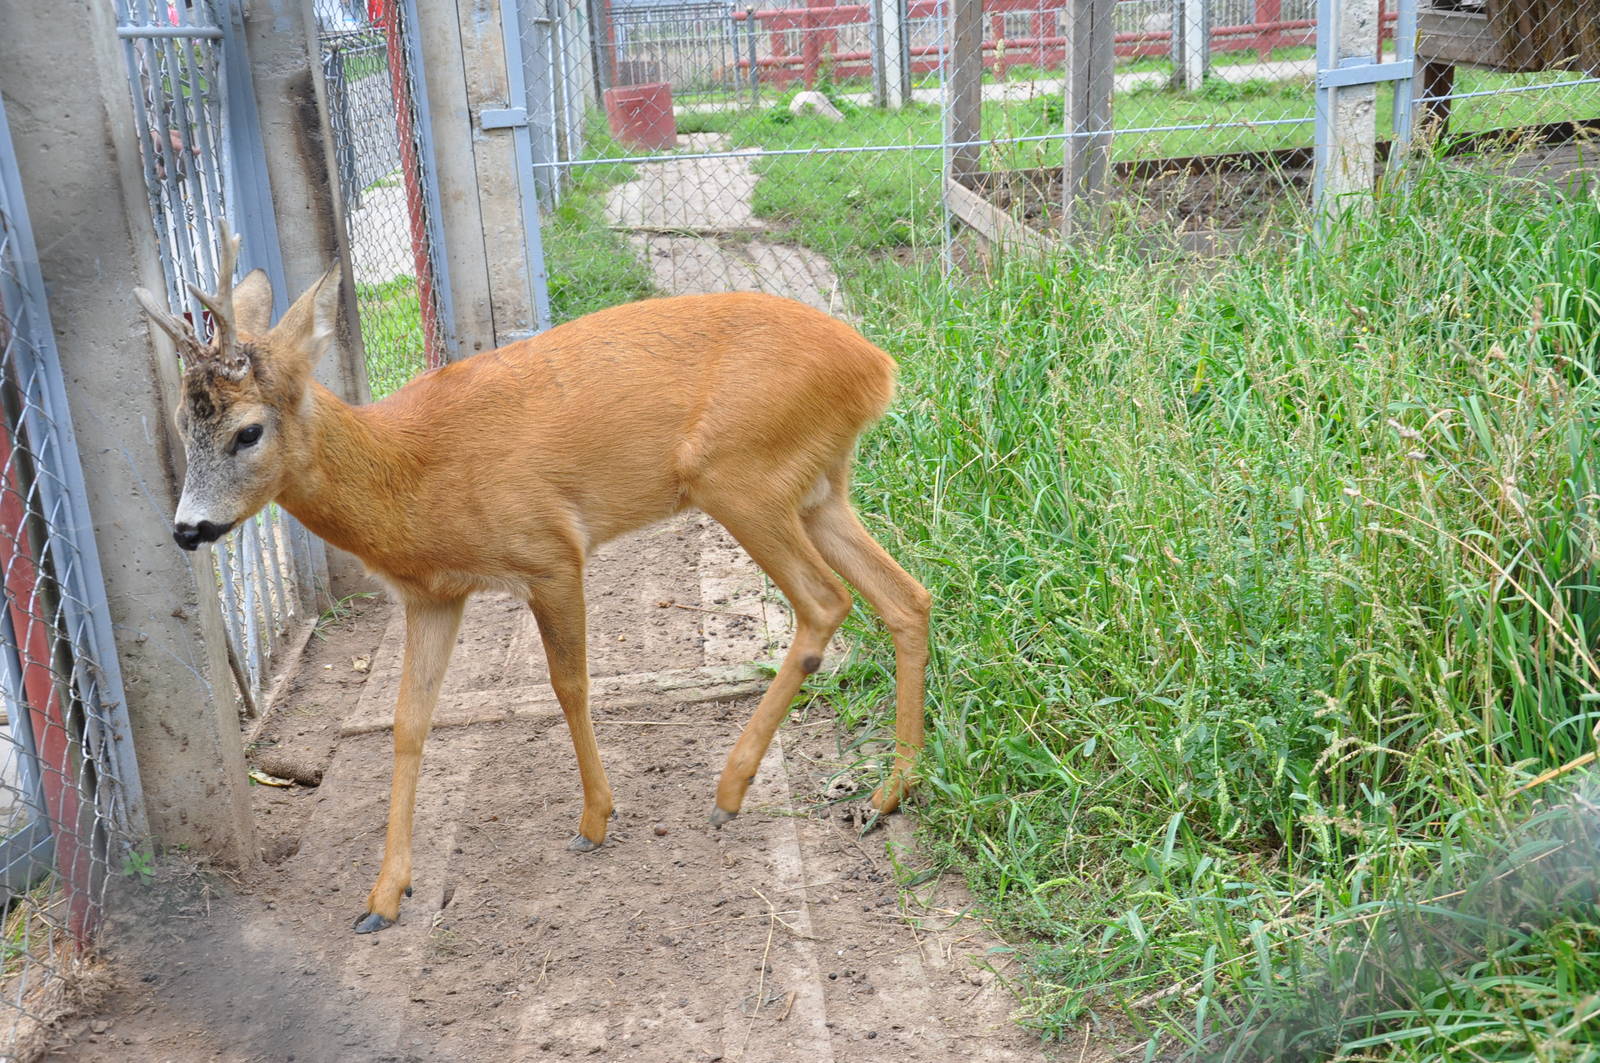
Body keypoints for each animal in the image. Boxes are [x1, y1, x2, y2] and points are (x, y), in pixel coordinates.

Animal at [134, 225, 931, 934]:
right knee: (906, 597)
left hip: (739, 475)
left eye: (247, 431)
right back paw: (886, 794)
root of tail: (876, 366)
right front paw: (384, 896)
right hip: (817, 486)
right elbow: (408, 724)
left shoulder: (549, 551)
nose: (187, 529)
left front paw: (595, 818)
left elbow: (569, 685)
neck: (409, 475)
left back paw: (732, 789)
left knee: (825, 600)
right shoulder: (431, 595)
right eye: (179, 423)